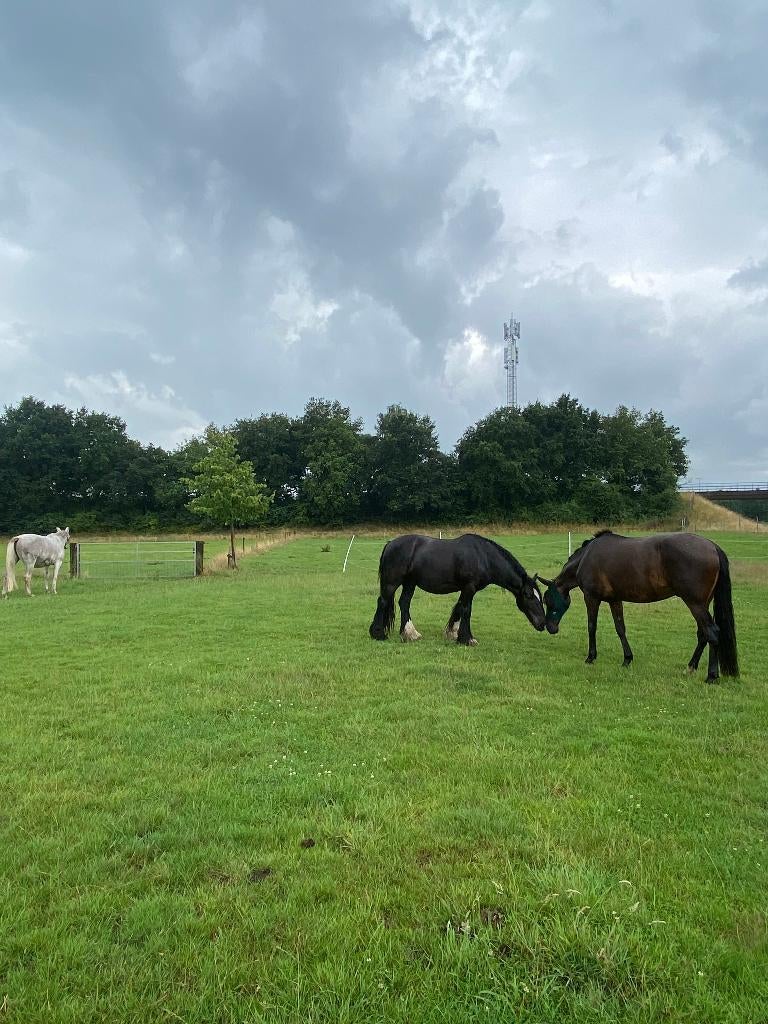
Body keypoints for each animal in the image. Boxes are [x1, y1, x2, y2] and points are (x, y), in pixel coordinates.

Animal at [369, 533, 546, 645]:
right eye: (529, 596)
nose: (542, 623)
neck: (483, 557)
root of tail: (390, 544)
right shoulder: (469, 587)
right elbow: (466, 610)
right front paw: (467, 639)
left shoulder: (466, 589)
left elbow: (460, 608)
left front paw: (453, 633)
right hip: (392, 582)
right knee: (383, 602)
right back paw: (378, 634)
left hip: (410, 582)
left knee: (404, 602)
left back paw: (410, 634)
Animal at [538, 530, 738, 681]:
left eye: (547, 600)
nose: (550, 627)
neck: (586, 558)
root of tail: (712, 546)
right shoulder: (615, 599)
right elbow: (620, 628)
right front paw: (627, 659)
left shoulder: (591, 597)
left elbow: (591, 627)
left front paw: (591, 657)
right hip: (703, 603)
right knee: (703, 634)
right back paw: (690, 668)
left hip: (695, 603)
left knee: (712, 632)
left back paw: (711, 676)